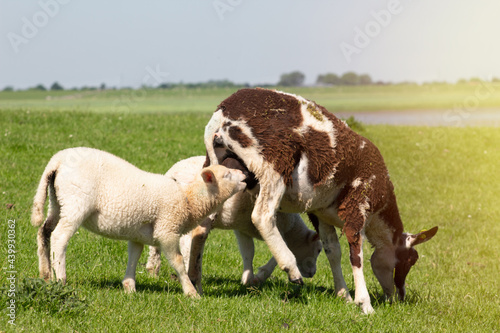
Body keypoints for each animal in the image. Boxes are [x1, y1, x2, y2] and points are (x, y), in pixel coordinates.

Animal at [31, 146, 246, 296]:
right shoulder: (167, 230)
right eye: (227, 174)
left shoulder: (138, 235)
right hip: (76, 203)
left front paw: (129, 288)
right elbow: (178, 261)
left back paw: (45, 275)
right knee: (59, 237)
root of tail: (57, 161)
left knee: (44, 232)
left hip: (57, 201)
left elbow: (134, 256)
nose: (245, 175)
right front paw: (191, 293)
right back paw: (61, 278)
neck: (188, 199)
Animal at [146, 156, 324, 294]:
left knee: (157, 243)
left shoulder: (242, 229)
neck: (292, 228)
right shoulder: (277, 229)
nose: (312, 273)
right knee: (186, 243)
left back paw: (152, 270)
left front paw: (247, 278)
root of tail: (172, 172)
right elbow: (277, 255)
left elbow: (248, 252)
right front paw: (259, 277)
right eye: (319, 249)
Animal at [203, 87, 438, 312]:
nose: (399, 298)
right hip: (274, 163)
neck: (378, 216)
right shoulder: (358, 205)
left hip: (219, 169)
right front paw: (364, 303)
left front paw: (344, 295)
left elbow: (333, 251)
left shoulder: (321, 213)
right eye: (410, 259)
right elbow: (356, 254)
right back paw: (291, 268)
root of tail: (222, 112)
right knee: (262, 216)